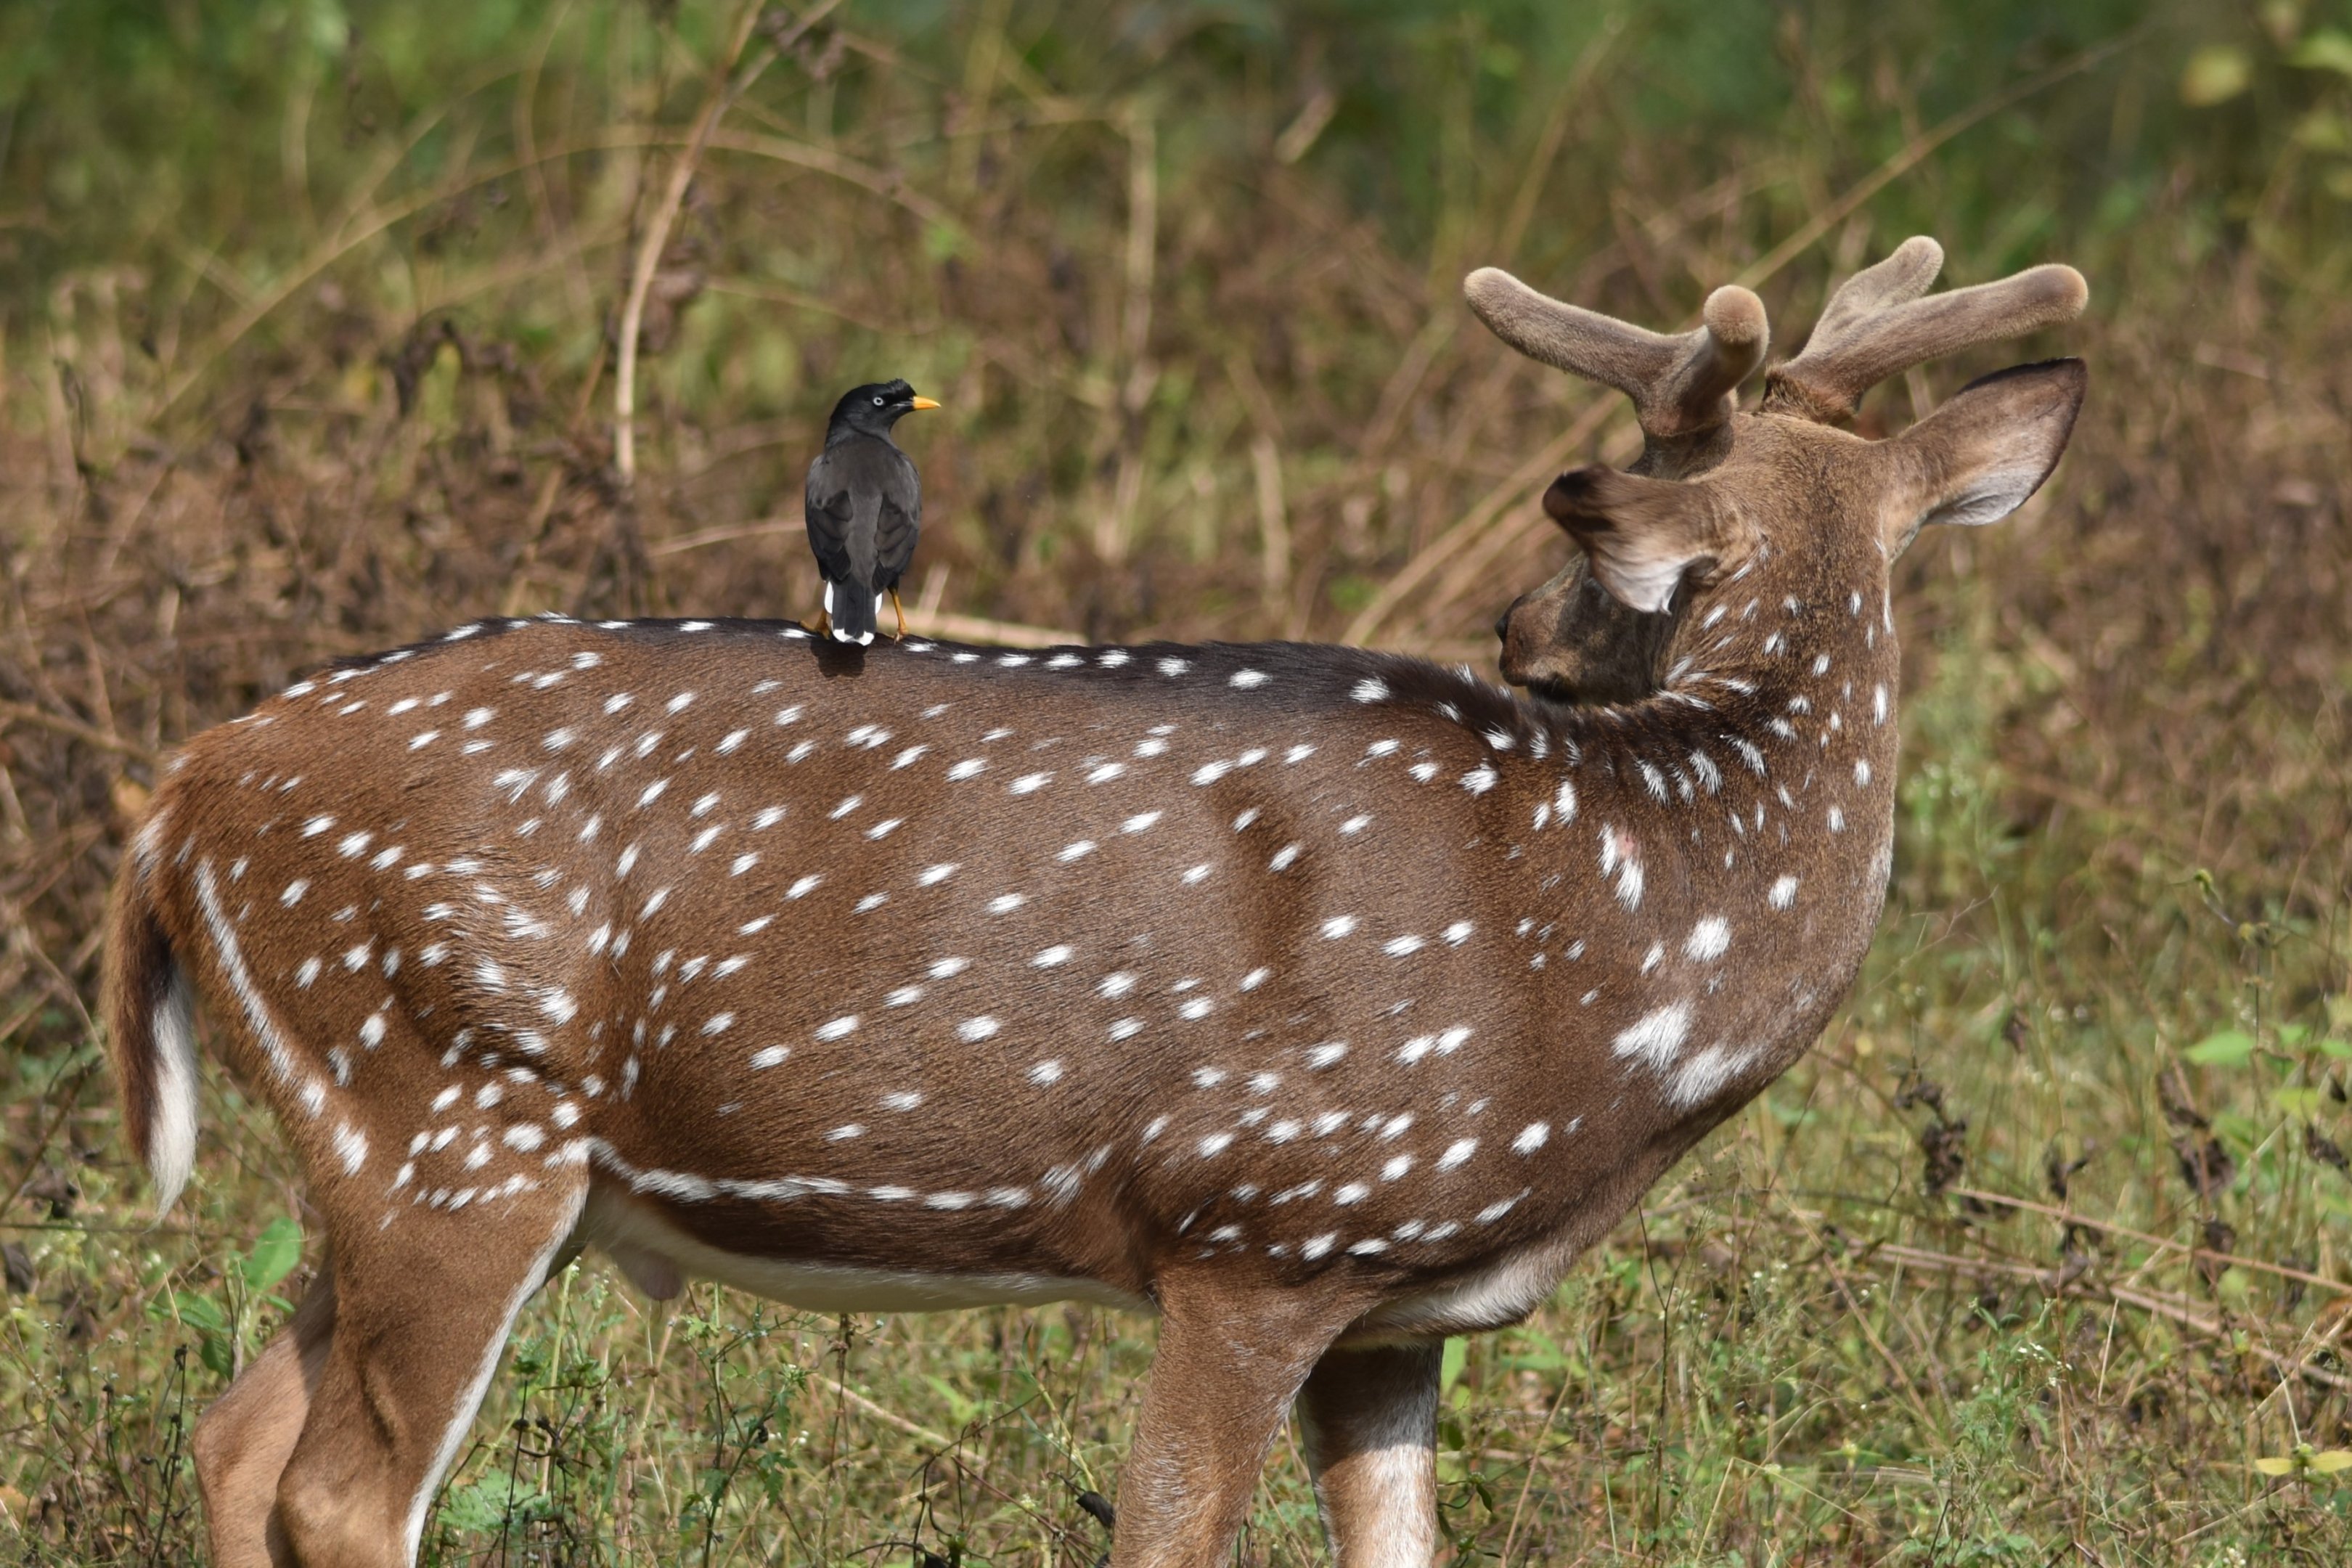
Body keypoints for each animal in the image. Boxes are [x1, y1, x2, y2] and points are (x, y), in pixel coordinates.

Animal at [102, 235, 2085, 1568]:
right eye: (1619, 542)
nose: (1517, 626)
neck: (1617, 957)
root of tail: (178, 801)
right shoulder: (1258, 1221)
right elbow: (1166, 1529)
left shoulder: (1389, 1298)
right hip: (447, 1104)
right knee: (341, 1491)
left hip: (402, 1143)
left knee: (235, 1432)